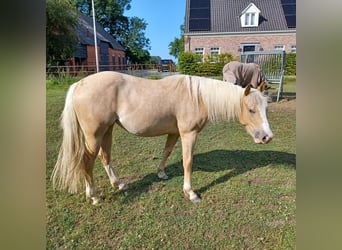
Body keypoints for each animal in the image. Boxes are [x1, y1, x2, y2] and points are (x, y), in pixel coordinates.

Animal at [52, 71, 272, 204]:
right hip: (94, 135)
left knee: (104, 157)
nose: (267, 137)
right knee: (87, 162)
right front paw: (190, 193)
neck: (197, 97)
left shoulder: (174, 133)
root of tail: (79, 85)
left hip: (107, 131)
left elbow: (166, 152)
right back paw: (94, 196)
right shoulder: (188, 134)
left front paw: (161, 173)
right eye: (251, 110)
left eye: (265, 108)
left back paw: (119, 184)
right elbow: (187, 162)